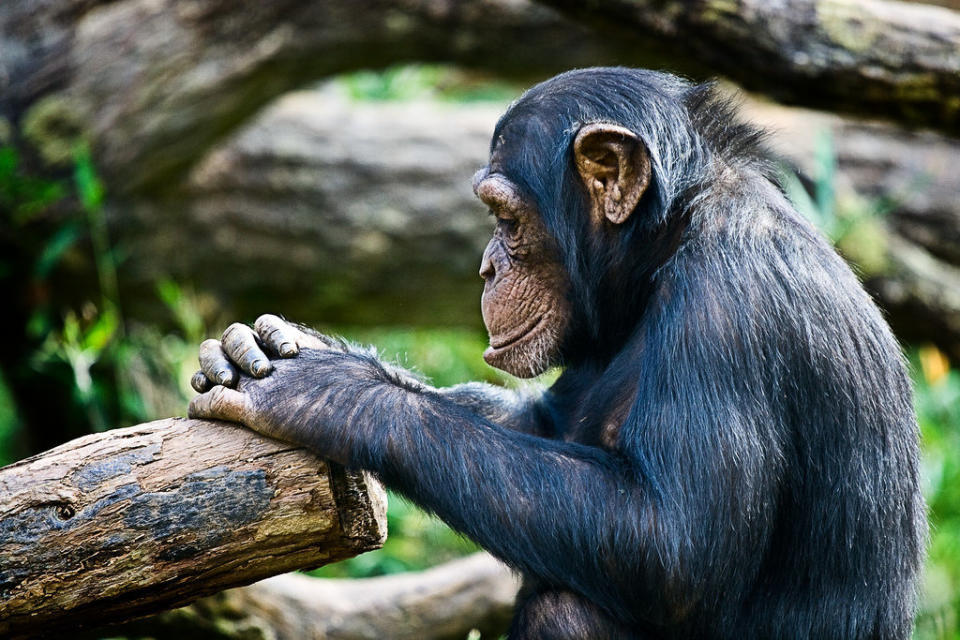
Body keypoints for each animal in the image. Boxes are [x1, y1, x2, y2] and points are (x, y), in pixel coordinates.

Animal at [186, 67, 924, 636]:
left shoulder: (727, 313)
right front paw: (265, 345)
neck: (668, 241)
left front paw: (330, 391)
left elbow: (675, 546)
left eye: (506, 218)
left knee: (569, 607)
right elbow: (542, 426)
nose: (486, 267)